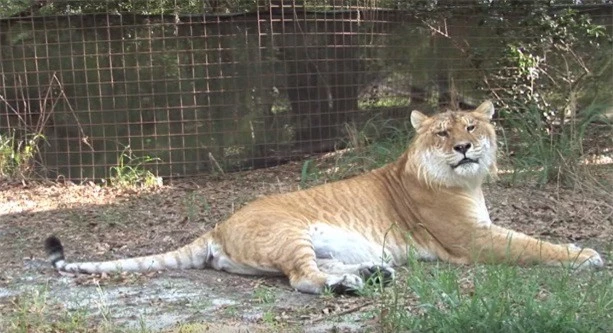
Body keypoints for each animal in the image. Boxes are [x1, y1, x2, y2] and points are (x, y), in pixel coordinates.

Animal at [45, 100, 604, 294]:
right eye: (442, 133)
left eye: (471, 127)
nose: (464, 147)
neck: (466, 182)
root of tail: (217, 226)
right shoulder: (472, 239)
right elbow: (531, 244)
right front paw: (587, 255)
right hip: (289, 233)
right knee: (303, 279)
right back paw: (353, 286)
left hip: (315, 243)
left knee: (316, 268)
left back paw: (373, 273)